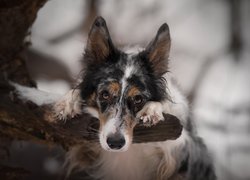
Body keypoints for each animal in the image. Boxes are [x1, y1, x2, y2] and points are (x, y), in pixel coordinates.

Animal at [53, 16, 217, 179]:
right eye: (105, 94)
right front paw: (69, 102)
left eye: (138, 99)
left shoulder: (187, 151)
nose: (115, 143)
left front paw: (152, 110)